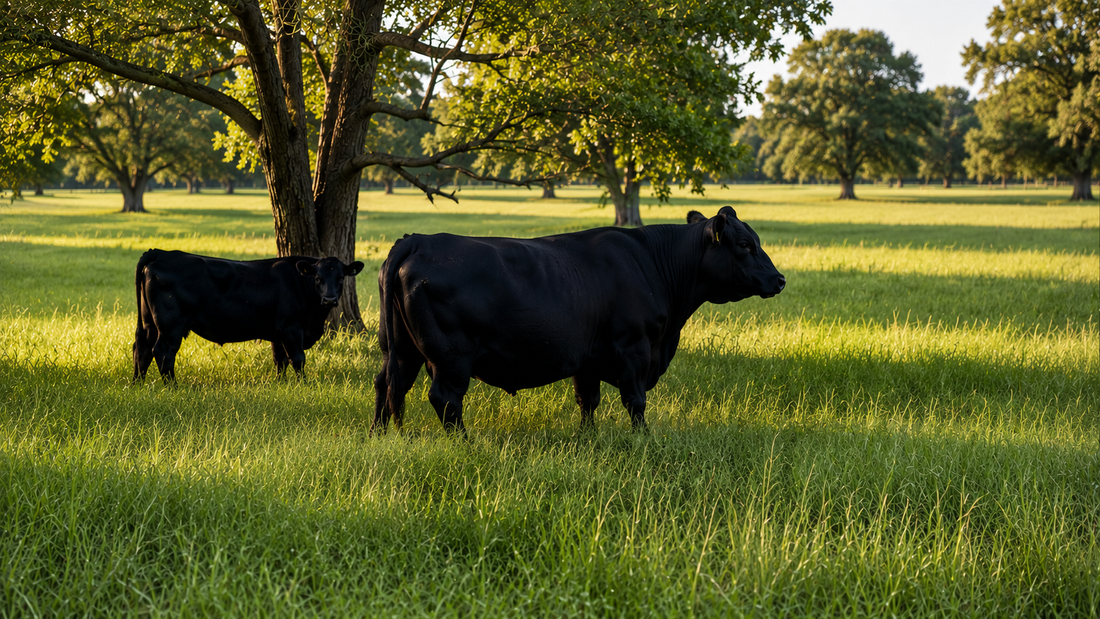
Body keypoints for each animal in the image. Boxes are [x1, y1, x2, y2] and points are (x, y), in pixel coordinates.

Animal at [133, 249, 364, 383]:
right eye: (317, 278)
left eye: (341, 277)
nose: (330, 299)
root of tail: (161, 252)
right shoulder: (291, 328)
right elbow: (297, 358)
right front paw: (303, 385)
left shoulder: (277, 333)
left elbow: (279, 360)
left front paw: (281, 384)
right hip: (171, 325)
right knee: (163, 353)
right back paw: (173, 387)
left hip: (149, 322)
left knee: (141, 349)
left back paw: (138, 384)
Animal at [371, 206, 785, 435]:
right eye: (744, 245)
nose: (779, 279)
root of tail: (418, 239)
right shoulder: (634, 349)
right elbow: (636, 401)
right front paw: (643, 439)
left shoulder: (588, 358)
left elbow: (588, 400)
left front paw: (588, 438)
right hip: (450, 357)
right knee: (444, 399)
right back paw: (465, 443)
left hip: (401, 348)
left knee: (388, 385)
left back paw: (382, 436)